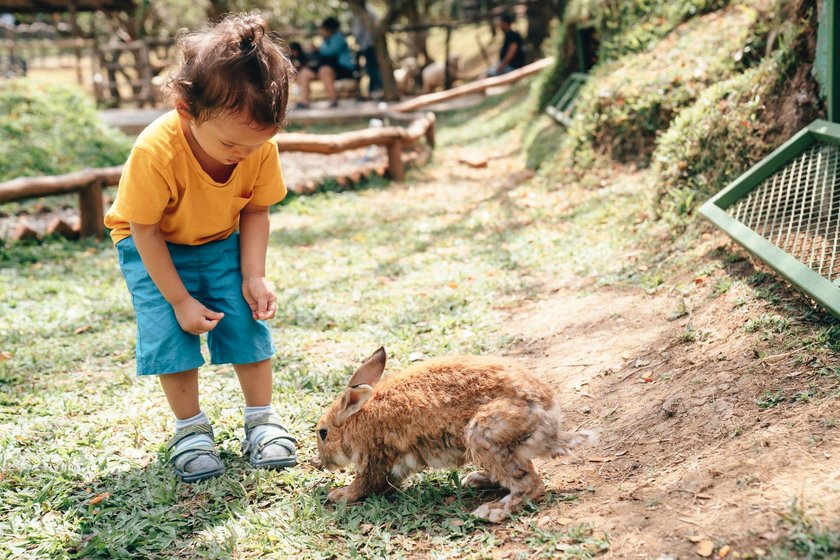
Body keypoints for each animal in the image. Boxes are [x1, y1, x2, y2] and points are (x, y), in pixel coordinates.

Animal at [316, 346, 596, 520]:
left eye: (323, 433)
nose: (324, 463)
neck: (356, 419)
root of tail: (550, 426)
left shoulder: (376, 458)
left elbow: (366, 484)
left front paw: (338, 495)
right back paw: (476, 480)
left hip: (483, 434)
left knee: (530, 485)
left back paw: (493, 510)